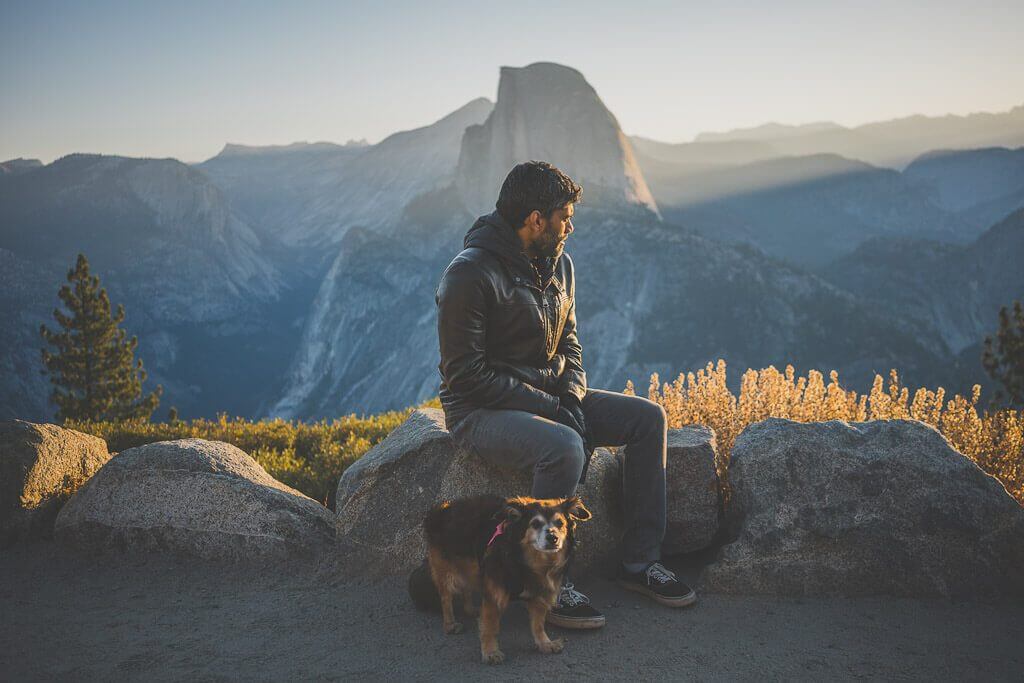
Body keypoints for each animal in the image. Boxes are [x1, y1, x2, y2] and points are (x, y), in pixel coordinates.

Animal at [419, 493, 593, 663]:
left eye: (560, 523)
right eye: (535, 524)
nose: (553, 537)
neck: (529, 562)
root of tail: (442, 507)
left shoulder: (539, 593)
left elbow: (538, 624)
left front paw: (545, 643)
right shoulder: (494, 593)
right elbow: (490, 626)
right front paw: (490, 652)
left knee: (466, 588)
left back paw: (470, 609)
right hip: (446, 570)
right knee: (446, 597)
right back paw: (450, 624)